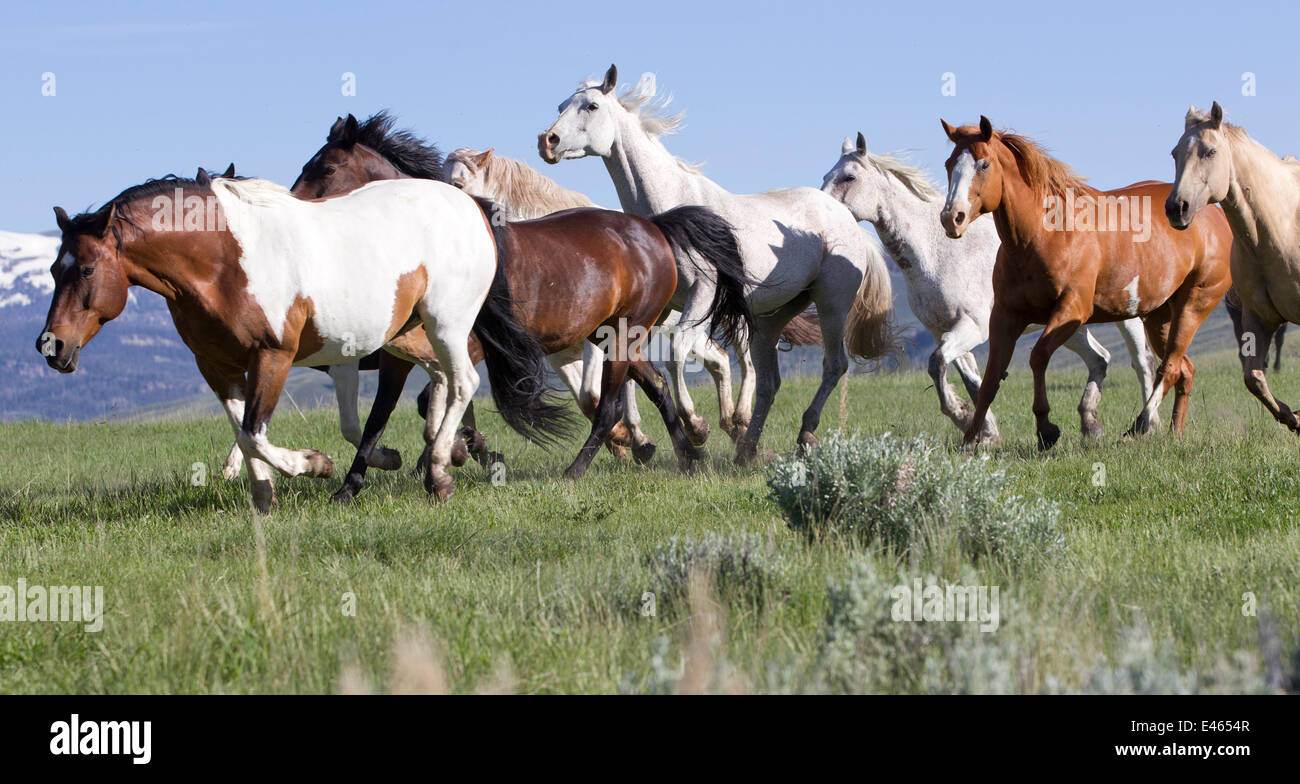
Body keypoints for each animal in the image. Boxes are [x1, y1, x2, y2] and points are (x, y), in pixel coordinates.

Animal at [37, 174, 569, 510]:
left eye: (86, 269)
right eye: (54, 269)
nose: (51, 347)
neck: (225, 262)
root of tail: (469, 206)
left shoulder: (273, 355)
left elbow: (255, 433)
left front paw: (315, 465)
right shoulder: (219, 368)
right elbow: (243, 433)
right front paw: (264, 498)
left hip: (447, 324)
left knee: (462, 383)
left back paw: (439, 473)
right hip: (407, 334)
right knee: (440, 383)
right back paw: (435, 456)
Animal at [539, 65, 895, 464]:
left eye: (592, 105)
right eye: (561, 105)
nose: (547, 141)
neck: (671, 210)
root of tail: (848, 219)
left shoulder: (703, 292)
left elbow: (677, 352)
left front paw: (696, 427)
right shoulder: (660, 308)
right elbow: (633, 362)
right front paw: (644, 440)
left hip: (832, 301)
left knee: (833, 365)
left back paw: (801, 434)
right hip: (773, 316)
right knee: (768, 378)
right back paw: (746, 447)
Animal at [822, 132, 1160, 442]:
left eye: (849, 177)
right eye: (826, 176)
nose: (824, 214)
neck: (939, 253)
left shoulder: (974, 327)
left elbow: (938, 363)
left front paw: (962, 417)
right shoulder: (943, 330)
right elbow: (970, 378)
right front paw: (985, 430)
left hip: (1125, 315)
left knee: (1141, 362)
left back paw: (1148, 424)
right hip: (1073, 324)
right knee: (1100, 359)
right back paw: (1091, 425)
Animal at [938, 117, 1233, 449]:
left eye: (984, 164)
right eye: (949, 163)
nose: (952, 217)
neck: (1045, 234)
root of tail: (1213, 215)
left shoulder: (1072, 310)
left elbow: (1038, 357)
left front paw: (1046, 429)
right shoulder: (1005, 316)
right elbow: (991, 378)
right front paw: (971, 440)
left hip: (1193, 306)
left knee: (1168, 368)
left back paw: (1140, 425)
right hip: (1158, 317)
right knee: (1184, 369)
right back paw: (1174, 433)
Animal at [1168, 102, 1300, 431]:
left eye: (1210, 151)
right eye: (1175, 153)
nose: (1176, 207)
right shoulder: (1258, 318)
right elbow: (1253, 378)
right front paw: (1293, 418)